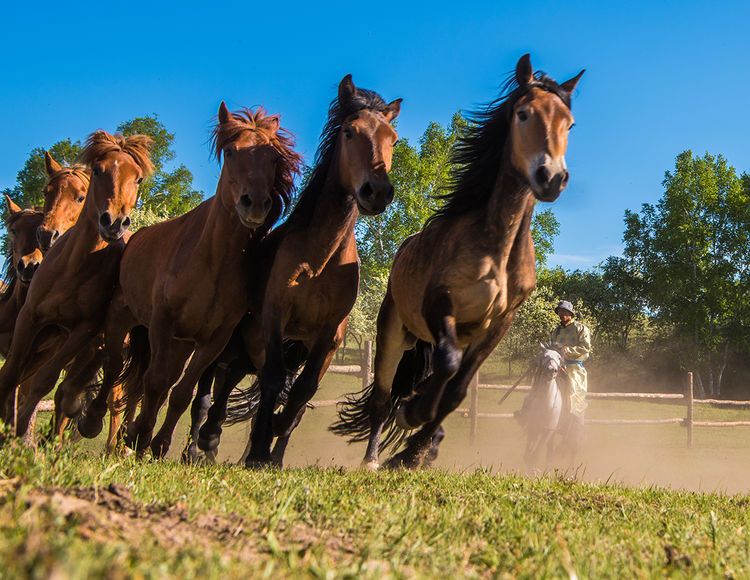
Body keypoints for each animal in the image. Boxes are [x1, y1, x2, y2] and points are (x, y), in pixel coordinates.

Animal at [0, 131, 153, 438]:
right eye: (47, 191)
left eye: (138, 179)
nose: (114, 222)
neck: (73, 270)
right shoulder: (30, 319)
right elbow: (11, 375)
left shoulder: (81, 332)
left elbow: (43, 382)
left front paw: (20, 435)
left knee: (119, 397)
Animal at [80, 105, 306, 458]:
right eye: (231, 151)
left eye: (273, 158)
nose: (255, 203)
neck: (212, 263)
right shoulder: (162, 322)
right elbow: (155, 382)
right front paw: (142, 438)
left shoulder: (212, 340)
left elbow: (181, 393)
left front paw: (158, 443)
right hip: (122, 319)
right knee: (117, 366)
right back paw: (95, 422)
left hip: (179, 343)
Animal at [216, 76, 400, 466]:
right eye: (349, 131)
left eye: (392, 138)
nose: (377, 192)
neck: (321, 258)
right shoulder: (275, 317)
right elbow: (274, 381)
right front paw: (259, 450)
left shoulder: (329, 335)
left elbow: (302, 393)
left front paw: (275, 446)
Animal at [334, 54, 588, 468]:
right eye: (523, 114)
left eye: (569, 123)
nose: (551, 177)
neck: (498, 249)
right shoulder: (440, 303)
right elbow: (448, 365)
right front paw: (412, 416)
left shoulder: (497, 325)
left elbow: (457, 390)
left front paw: (416, 448)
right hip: (393, 332)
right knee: (383, 398)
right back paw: (374, 455)